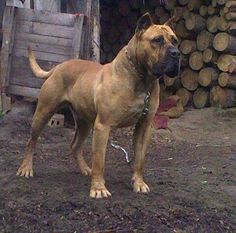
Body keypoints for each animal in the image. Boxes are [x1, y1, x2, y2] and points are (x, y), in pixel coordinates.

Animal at [16, 12, 179, 198]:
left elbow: (139, 159)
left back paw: (85, 169)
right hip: (44, 113)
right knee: (31, 141)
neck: (142, 79)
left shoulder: (144, 127)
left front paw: (139, 183)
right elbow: (99, 161)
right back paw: (26, 168)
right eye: (157, 40)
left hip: (85, 123)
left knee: (74, 146)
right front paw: (99, 189)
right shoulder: (103, 126)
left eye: (175, 40)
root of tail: (58, 67)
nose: (176, 53)